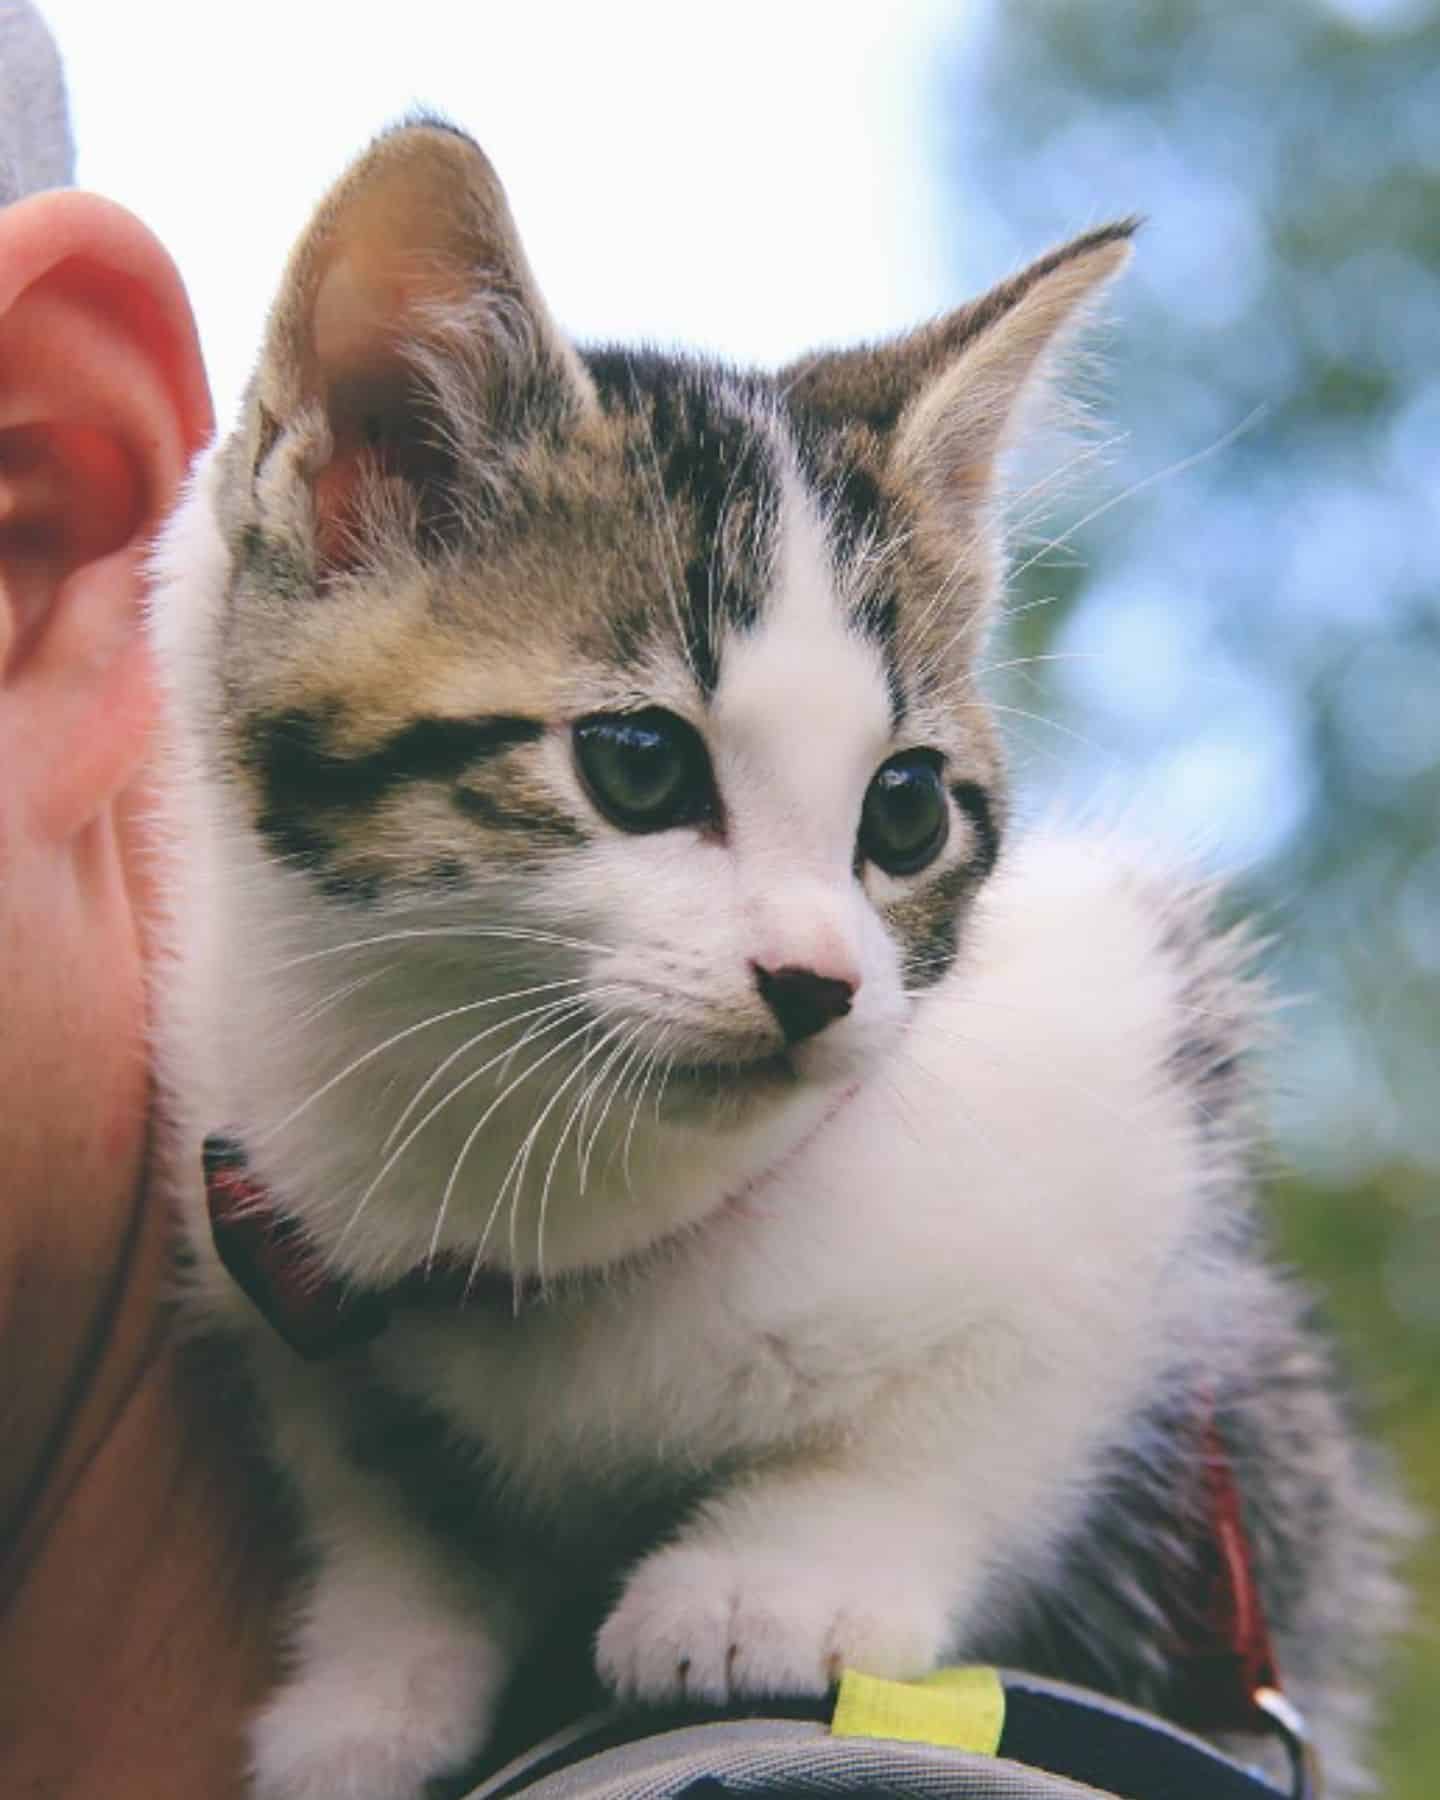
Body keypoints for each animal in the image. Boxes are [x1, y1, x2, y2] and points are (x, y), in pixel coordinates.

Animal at [152, 123, 1404, 1800]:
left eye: (907, 808)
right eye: (637, 765)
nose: (821, 984)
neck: (555, 1171)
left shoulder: (1133, 1067)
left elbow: (988, 1411)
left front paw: (776, 1576)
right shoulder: (261, 1222)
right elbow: (368, 1479)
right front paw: (374, 1676)